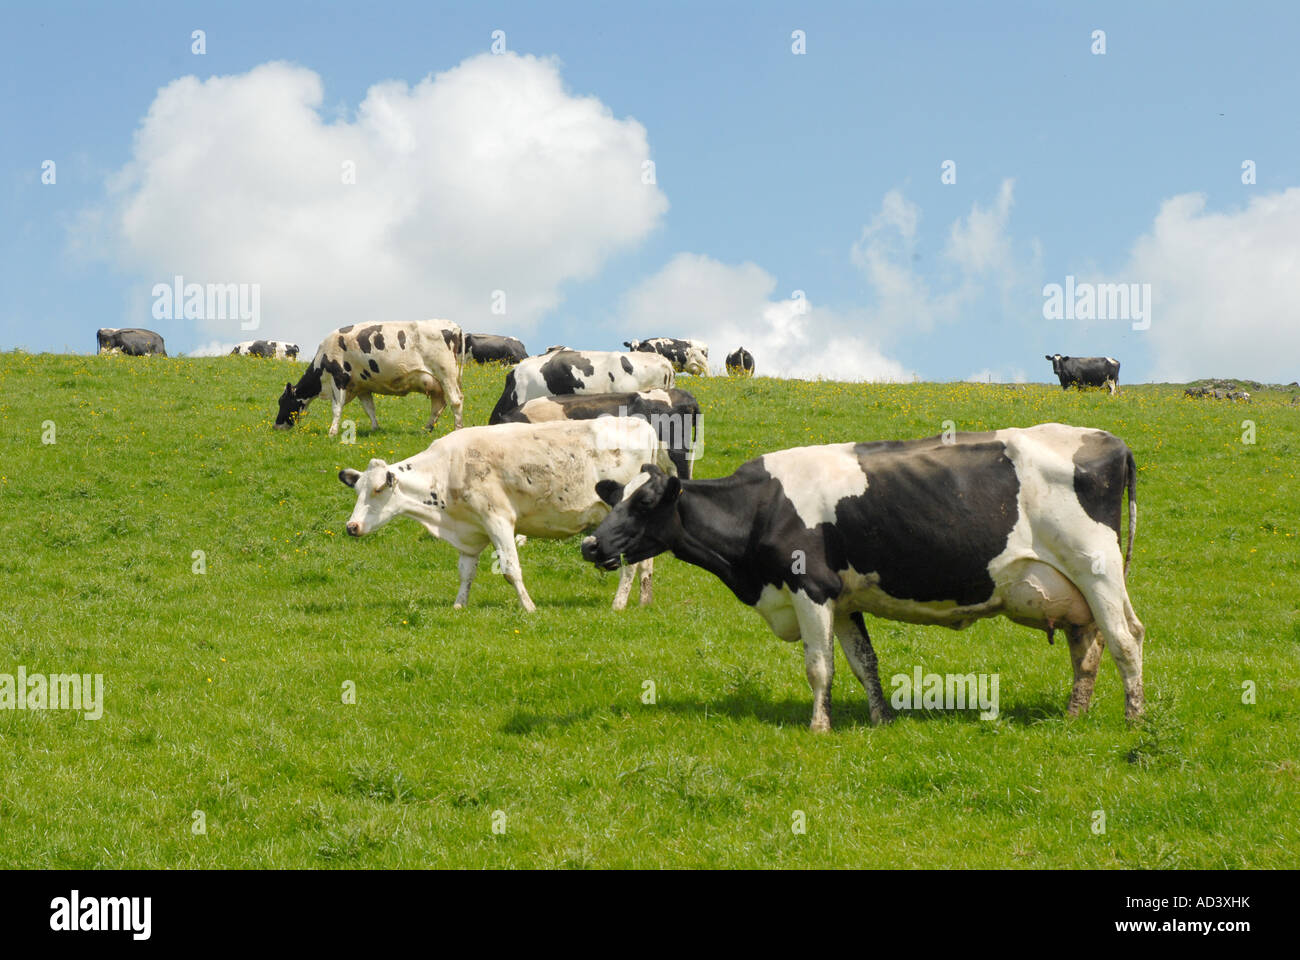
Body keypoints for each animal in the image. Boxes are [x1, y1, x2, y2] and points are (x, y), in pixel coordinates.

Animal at [275, 320, 465, 436]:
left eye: (282, 401)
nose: (276, 425)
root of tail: (454, 326)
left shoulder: (338, 378)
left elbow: (336, 408)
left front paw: (332, 432)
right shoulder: (361, 386)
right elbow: (369, 409)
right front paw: (375, 428)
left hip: (446, 374)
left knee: (456, 401)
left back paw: (457, 430)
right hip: (434, 382)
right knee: (439, 404)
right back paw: (426, 429)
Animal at [339, 418, 676, 612]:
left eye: (378, 491)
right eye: (358, 491)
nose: (352, 526)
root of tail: (643, 425)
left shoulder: (498, 520)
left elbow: (511, 569)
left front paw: (529, 608)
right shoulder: (471, 531)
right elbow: (466, 572)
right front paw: (459, 606)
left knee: (630, 565)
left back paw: (618, 604)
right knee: (646, 563)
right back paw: (643, 601)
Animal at [582, 423, 1144, 732]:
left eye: (645, 502)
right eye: (614, 499)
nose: (590, 545)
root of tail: (1108, 439)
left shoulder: (810, 588)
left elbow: (819, 667)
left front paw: (819, 727)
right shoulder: (845, 599)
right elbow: (864, 664)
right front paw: (881, 720)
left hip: (1097, 569)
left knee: (1125, 639)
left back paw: (1134, 720)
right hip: (1072, 590)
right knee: (1087, 647)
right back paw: (1073, 717)